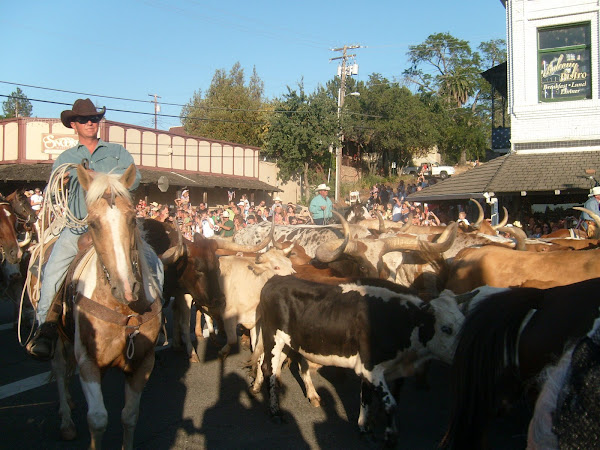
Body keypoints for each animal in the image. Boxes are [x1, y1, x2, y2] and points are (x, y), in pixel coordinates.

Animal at [49, 163, 163, 448]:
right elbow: (98, 419)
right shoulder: (88, 362)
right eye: (92, 223)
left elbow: (129, 416)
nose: (126, 288)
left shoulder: (142, 363)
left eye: (132, 218)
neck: (123, 309)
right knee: (59, 369)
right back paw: (66, 421)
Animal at [248, 276, 464, 444]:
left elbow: (367, 399)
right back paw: (275, 412)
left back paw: (302, 393)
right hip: (273, 337)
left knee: (279, 365)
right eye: (446, 328)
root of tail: (276, 280)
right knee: (268, 368)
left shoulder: (378, 370)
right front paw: (390, 436)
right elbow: (391, 404)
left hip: (289, 342)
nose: (460, 353)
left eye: (463, 322)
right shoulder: (371, 368)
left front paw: (365, 429)